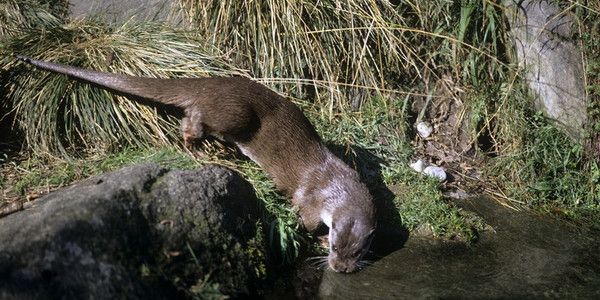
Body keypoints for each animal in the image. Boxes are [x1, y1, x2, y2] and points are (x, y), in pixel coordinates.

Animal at [15, 55, 376, 274]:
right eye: (335, 244)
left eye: (358, 251)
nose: (341, 268)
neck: (336, 187)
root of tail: (208, 82)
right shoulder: (312, 200)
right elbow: (305, 219)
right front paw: (314, 238)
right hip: (235, 114)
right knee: (197, 117)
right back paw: (197, 146)